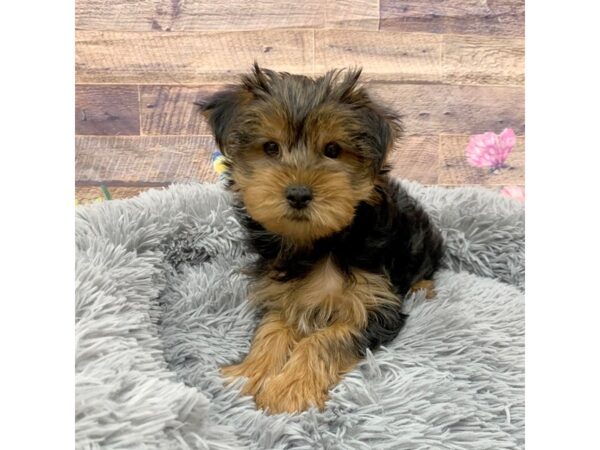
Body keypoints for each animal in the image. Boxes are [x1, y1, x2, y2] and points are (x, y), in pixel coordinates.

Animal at [199, 64, 442, 414]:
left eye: (333, 150)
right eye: (270, 148)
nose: (299, 194)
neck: (319, 243)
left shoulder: (373, 304)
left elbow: (326, 339)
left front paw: (289, 388)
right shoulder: (280, 293)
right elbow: (271, 329)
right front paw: (250, 372)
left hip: (421, 241)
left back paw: (423, 287)